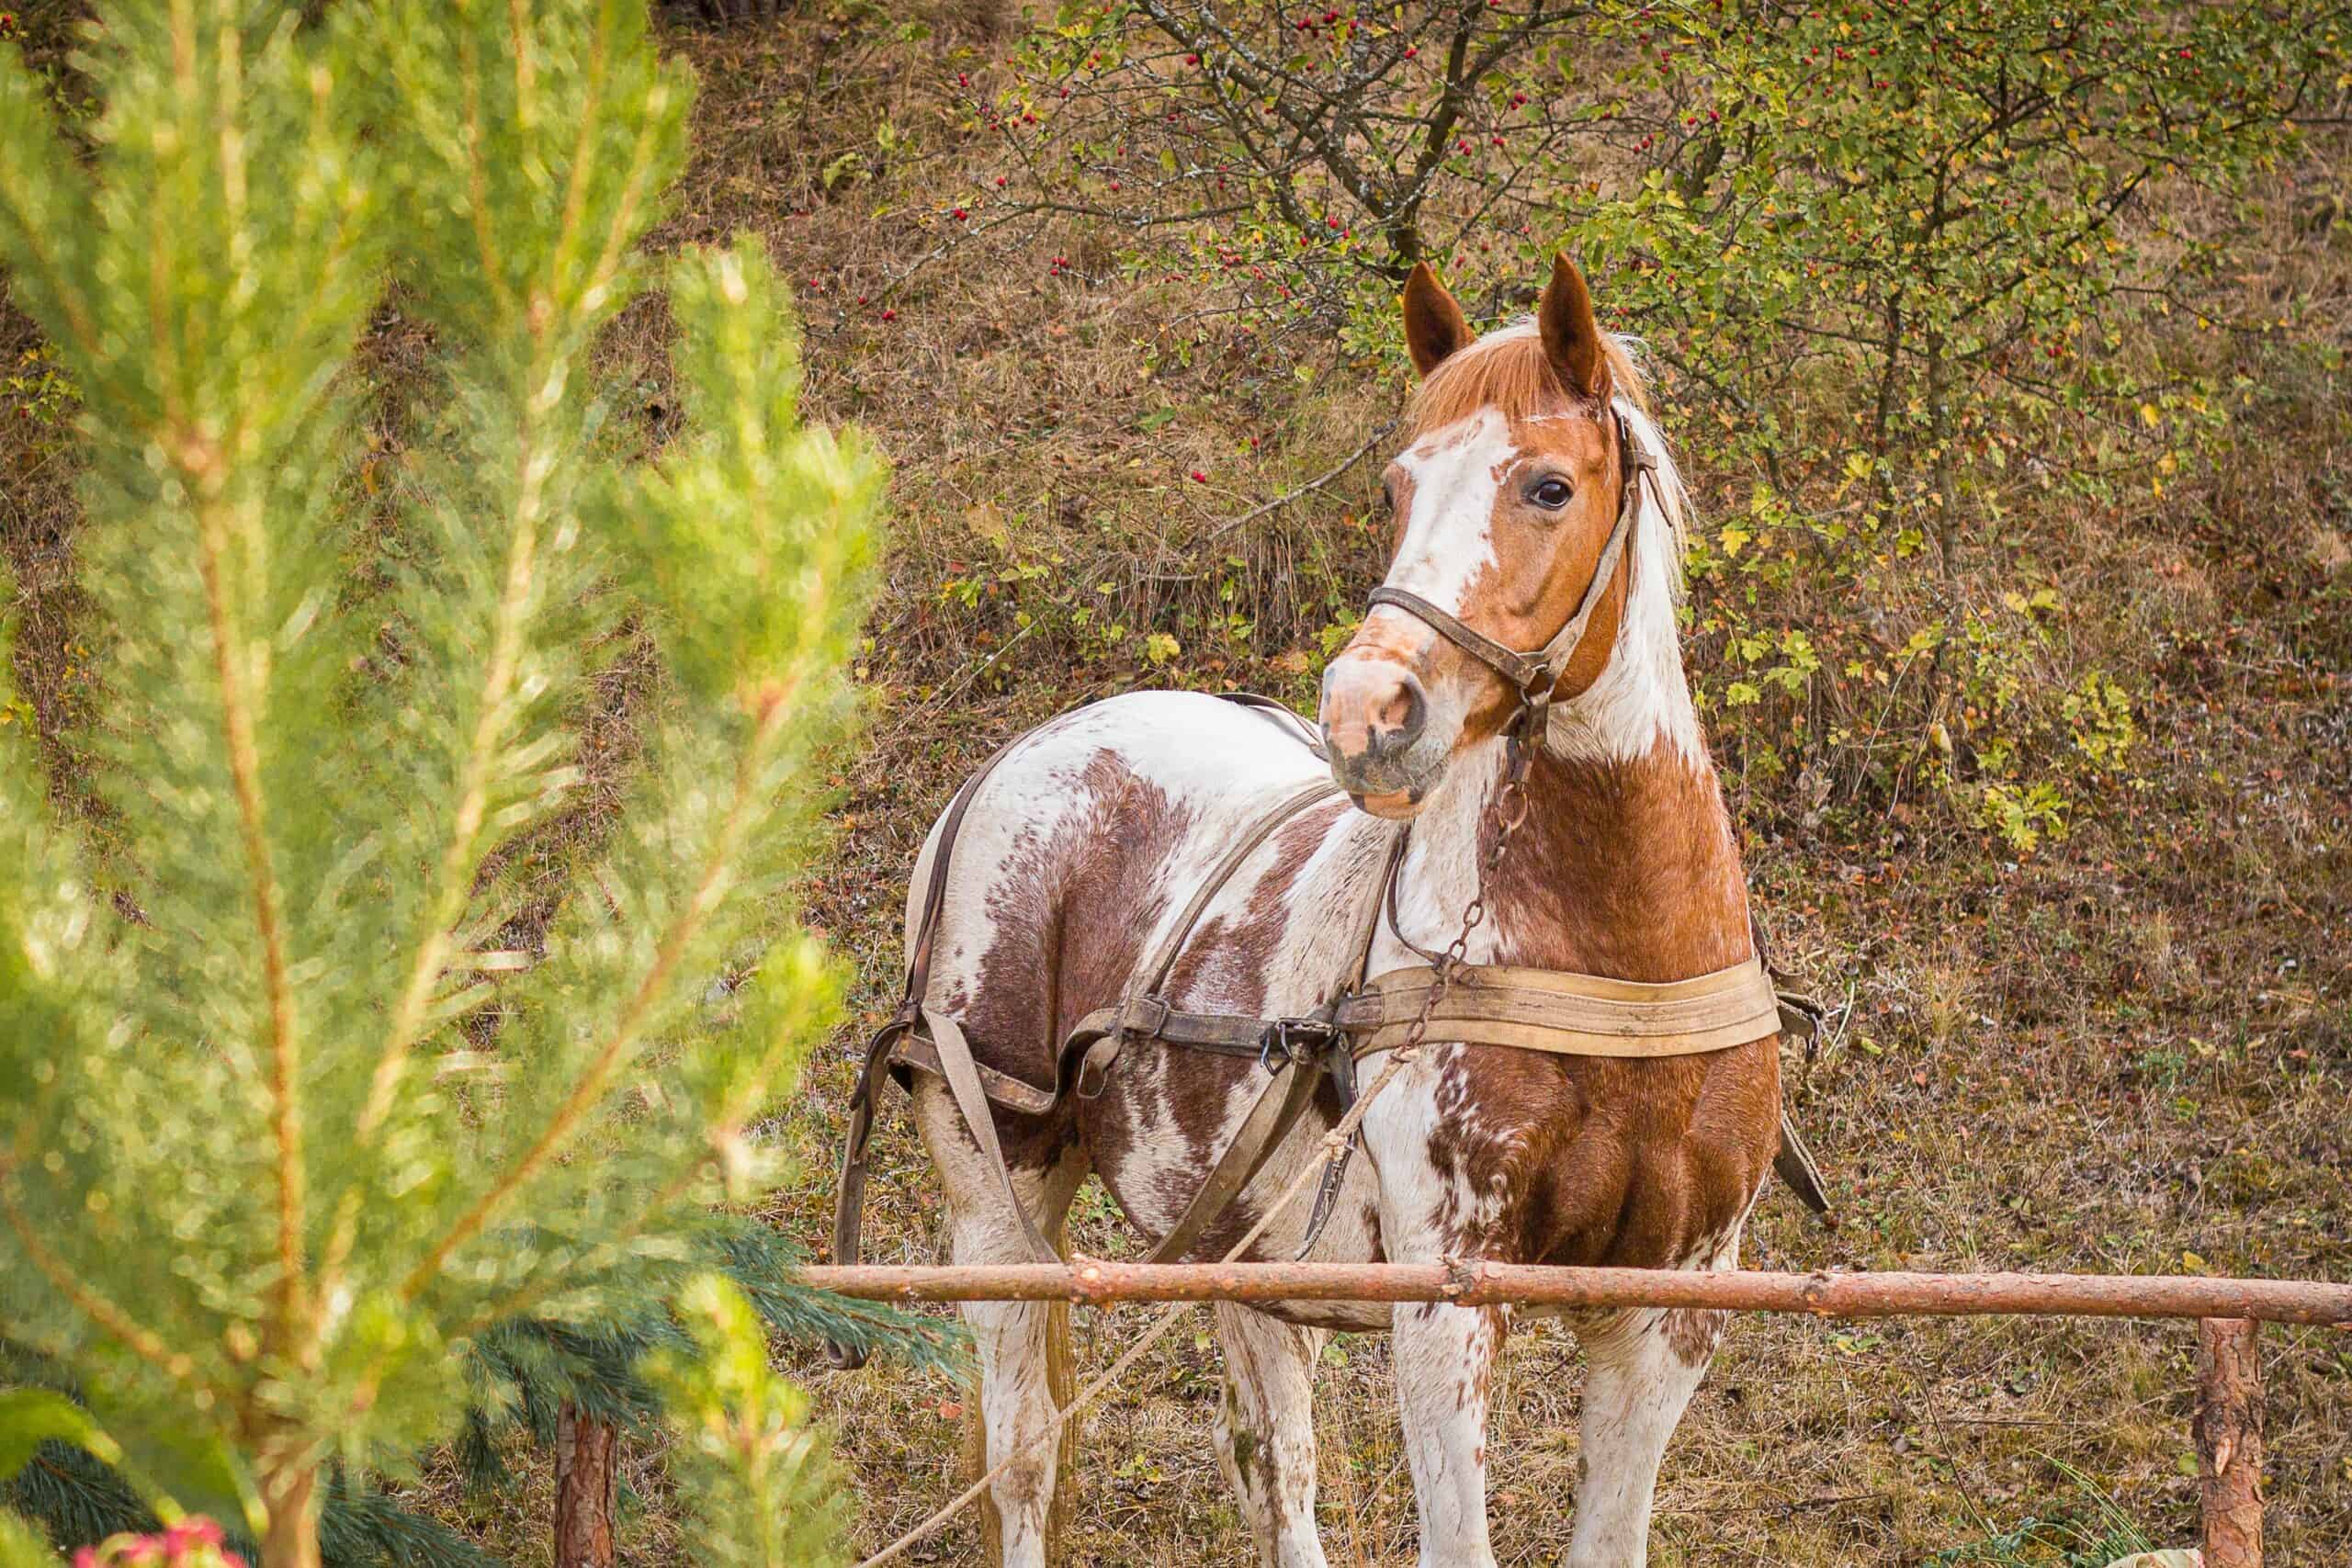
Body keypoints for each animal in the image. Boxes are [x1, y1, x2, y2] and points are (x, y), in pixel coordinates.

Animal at [888, 251, 1769, 1561]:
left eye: (1549, 485)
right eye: (1397, 487)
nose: (1366, 707)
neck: (1616, 968)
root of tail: (1015, 762)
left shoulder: (1670, 1311)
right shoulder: (1445, 1302)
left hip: (1235, 1242)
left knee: (1274, 1468)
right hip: (998, 1203)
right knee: (1023, 1459)